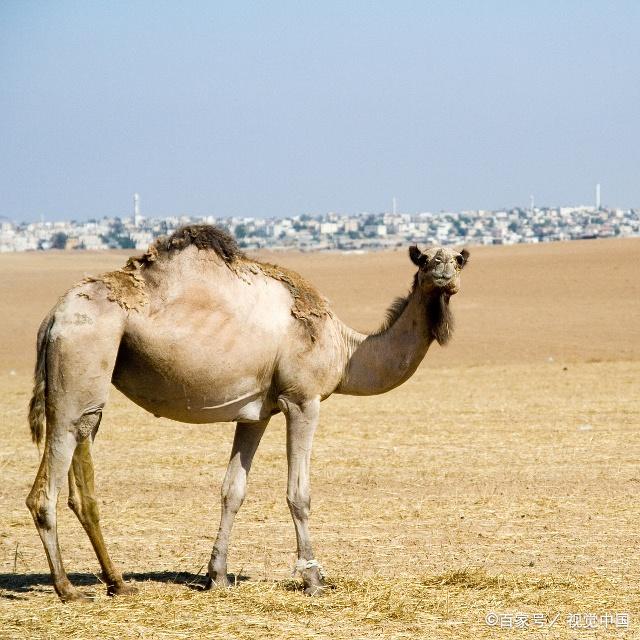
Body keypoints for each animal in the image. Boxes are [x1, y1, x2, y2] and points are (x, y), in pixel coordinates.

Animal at [25, 225, 468, 600]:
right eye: (426, 260)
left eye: (458, 260)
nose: (446, 275)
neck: (344, 350)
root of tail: (53, 316)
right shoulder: (301, 400)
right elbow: (299, 494)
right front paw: (313, 578)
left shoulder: (256, 413)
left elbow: (232, 491)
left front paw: (217, 576)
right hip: (81, 356)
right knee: (47, 483)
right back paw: (67, 588)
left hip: (91, 384)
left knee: (83, 456)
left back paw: (117, 583)